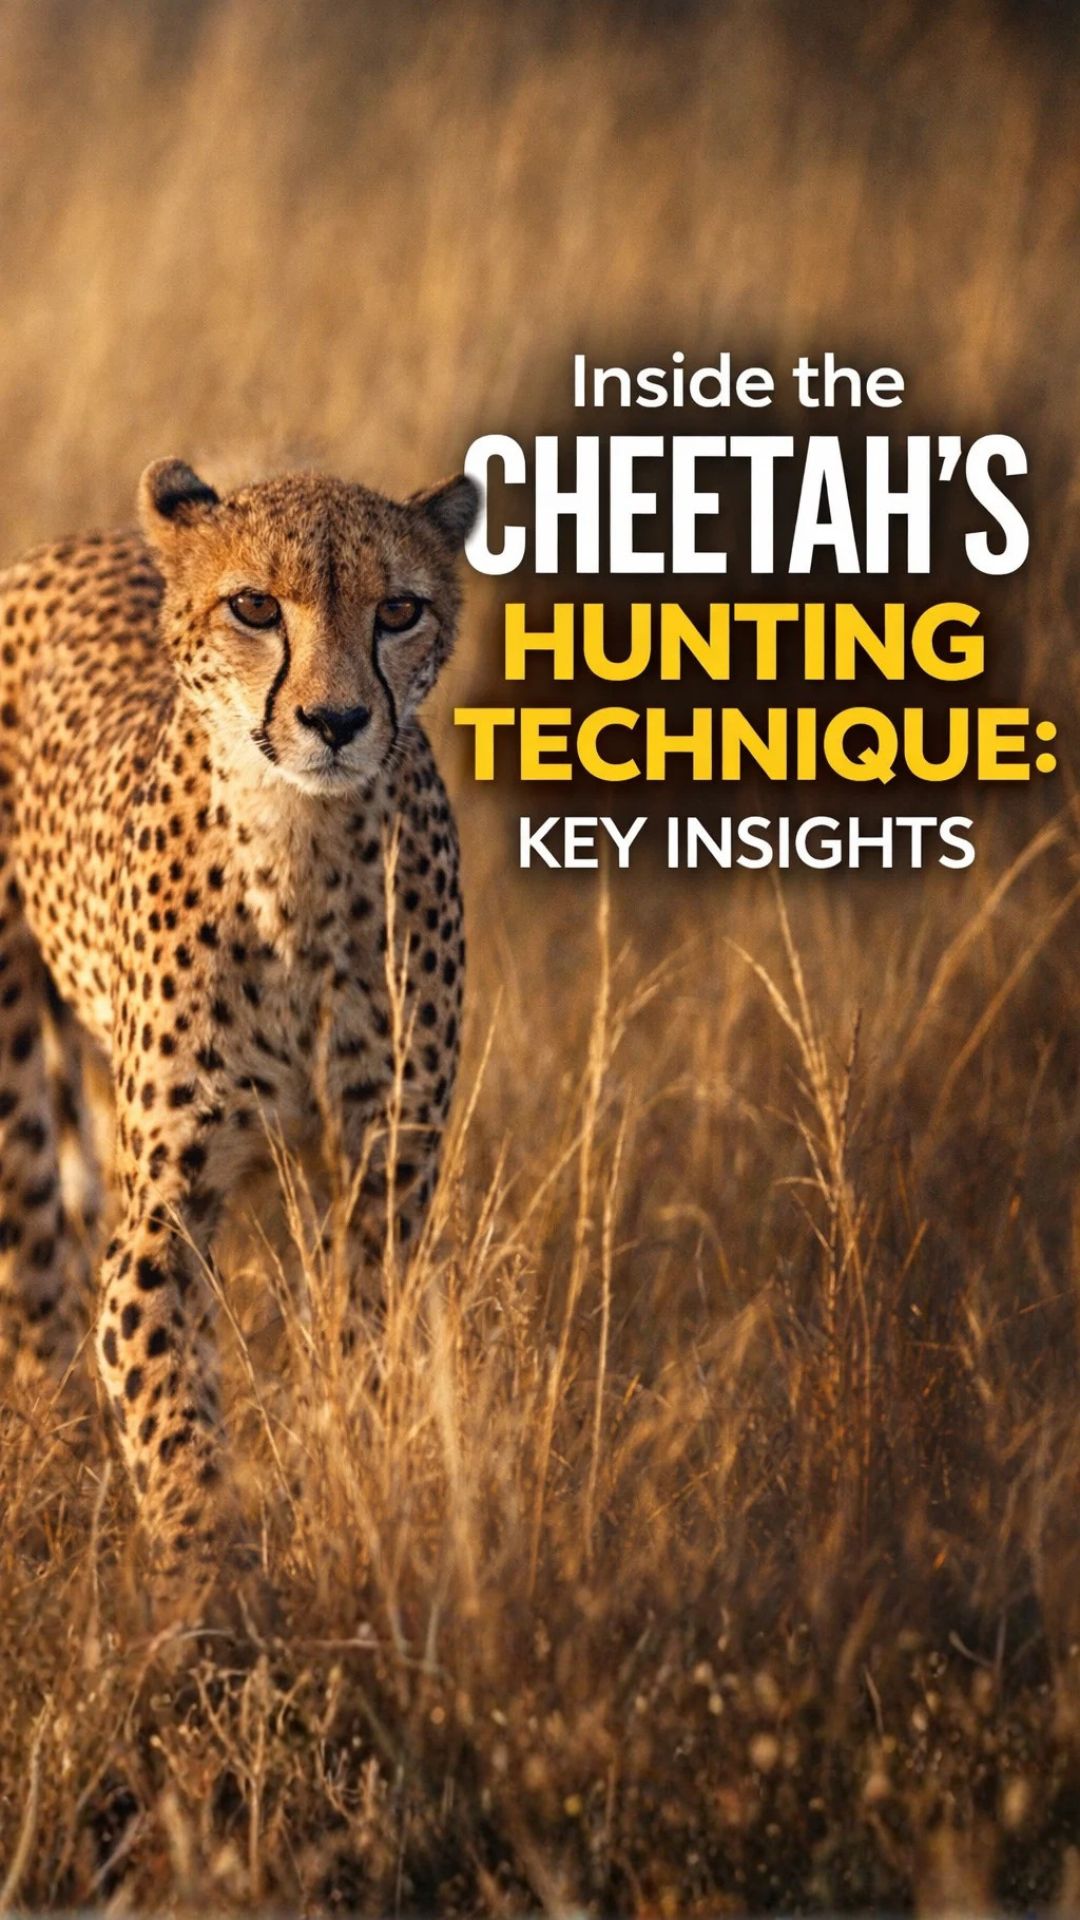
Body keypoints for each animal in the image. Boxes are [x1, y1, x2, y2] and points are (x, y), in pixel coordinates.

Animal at [0, 456, 478, 1600]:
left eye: (399, 610)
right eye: (256, 607)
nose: (336, 720)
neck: (299, 846)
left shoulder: (383, 1176)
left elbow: (362, 1357)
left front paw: (348, 1491)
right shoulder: (164, 1211)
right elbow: (169, 1404)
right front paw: (199, 1589)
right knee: (36, 1272)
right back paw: (55, 1451)